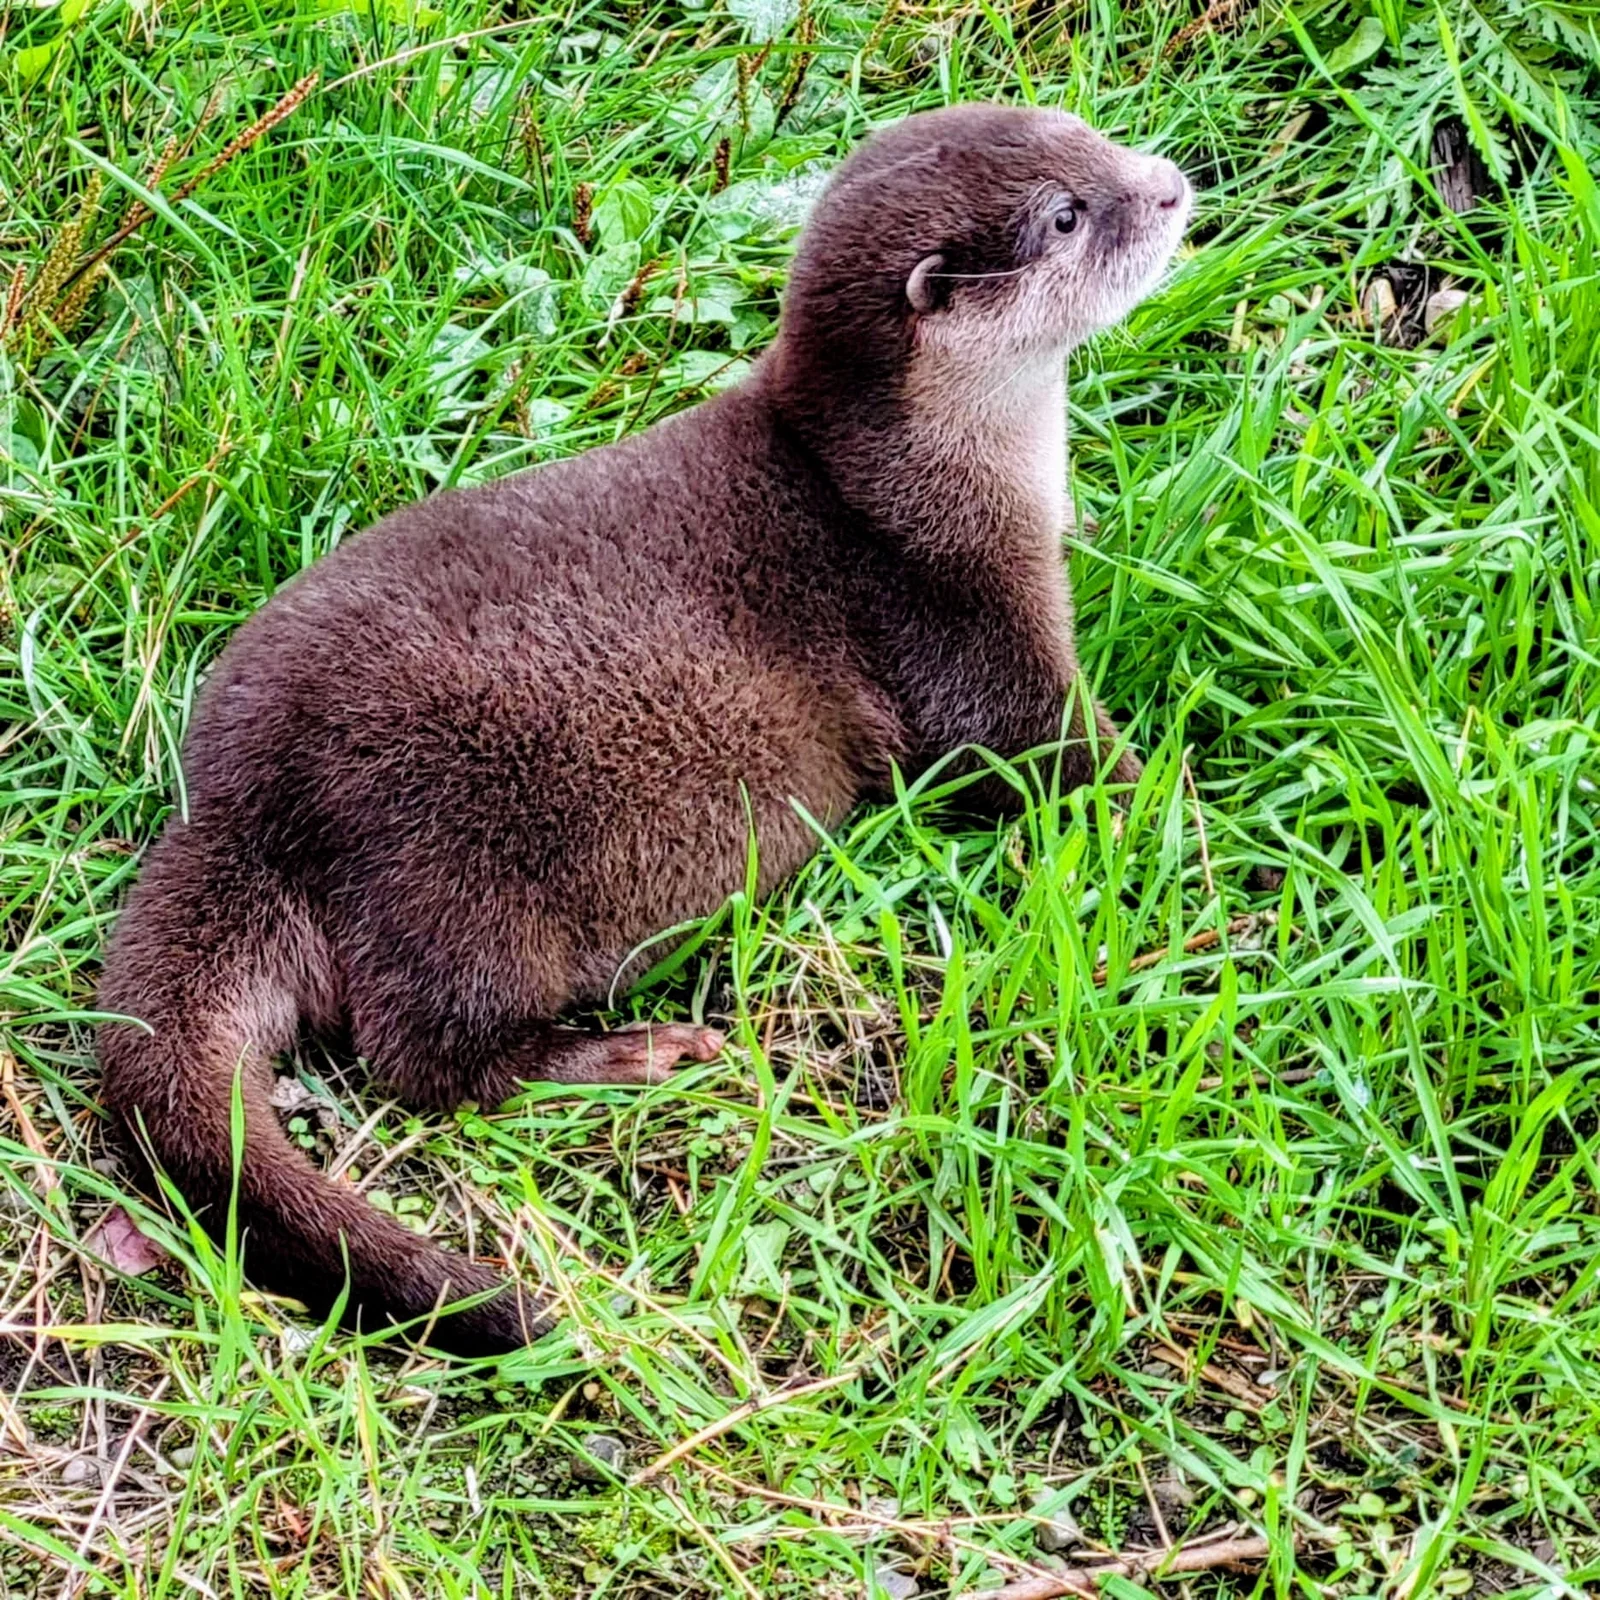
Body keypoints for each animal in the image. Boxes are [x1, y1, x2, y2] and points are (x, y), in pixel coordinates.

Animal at [97, 103, 1191, 1355]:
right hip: (450, 863)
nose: (1171, 188)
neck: (909, 488)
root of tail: (234, 806)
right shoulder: (959, 620)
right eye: (1066, 215)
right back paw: (642, 1051)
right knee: (429, 1062)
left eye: (1088, 133)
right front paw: (1191, 809)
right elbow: (1041, 754)